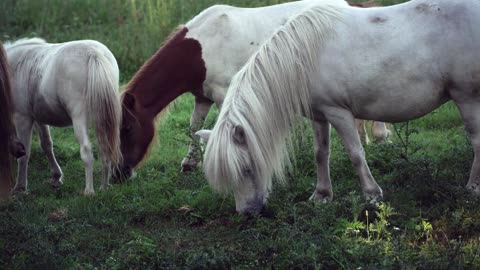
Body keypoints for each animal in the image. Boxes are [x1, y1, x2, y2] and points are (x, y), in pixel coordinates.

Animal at [5, 37, 122, 194]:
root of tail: (93, 52)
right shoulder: (39, 118)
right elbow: (46, 145)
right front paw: (56, 177)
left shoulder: (22, 118)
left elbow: (25, 154)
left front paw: (20, 187)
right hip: (103, 118)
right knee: (105, 147)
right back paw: (104, 187)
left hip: (79, 118)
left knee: (86, 150)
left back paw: (89, 191)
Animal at [197, 0, 480, 213]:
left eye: (246, 169)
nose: (247, 213)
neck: (303, 58)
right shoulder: (319, 115)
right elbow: (320, 154)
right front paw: (322, 196)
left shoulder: (339, 112)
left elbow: (356, 153)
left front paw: (372, 194)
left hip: (467, 97)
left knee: (477, 142)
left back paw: (473, 188)